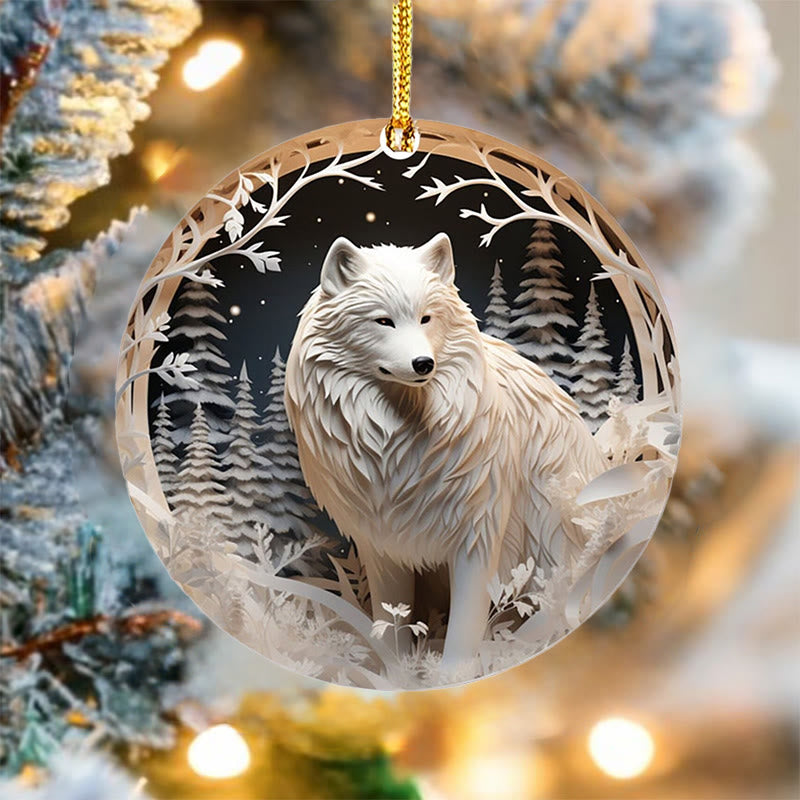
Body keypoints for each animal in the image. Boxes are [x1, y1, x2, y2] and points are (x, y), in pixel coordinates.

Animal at [285, 233, 607, 668]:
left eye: (426, 318)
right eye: (383, 321)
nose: (424, 363)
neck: (396, 446)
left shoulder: (479, 536)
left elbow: (465, 628)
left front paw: (450, 675)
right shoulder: (382, 543)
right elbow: (391, 620)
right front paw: (397, 672)